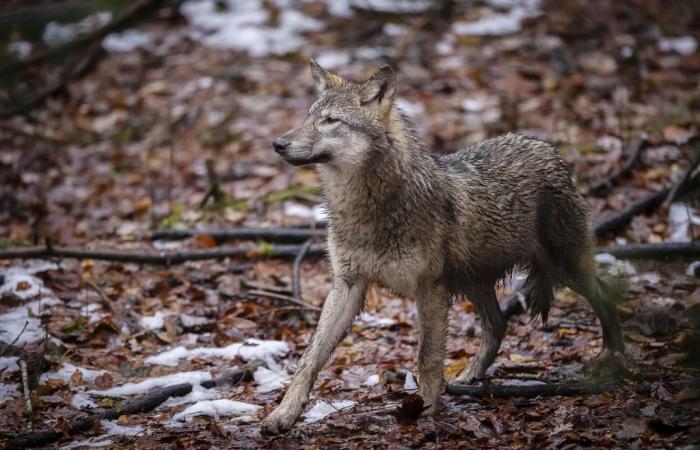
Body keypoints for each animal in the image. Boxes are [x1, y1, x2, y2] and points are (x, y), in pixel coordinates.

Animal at [260, 60, 628, 436]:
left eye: (331, 120)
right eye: (308, 116)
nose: (278, 144)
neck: (368, 207)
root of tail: (548, 149)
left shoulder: (429, 287)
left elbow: (428, 356)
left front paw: (426, 411)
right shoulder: (348, 284)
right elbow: (311, 356)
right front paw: (283, 414)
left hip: (564, 267)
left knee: (604, 294)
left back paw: (614, 358)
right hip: (473, 281)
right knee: (498, 324)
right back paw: (469, 377)